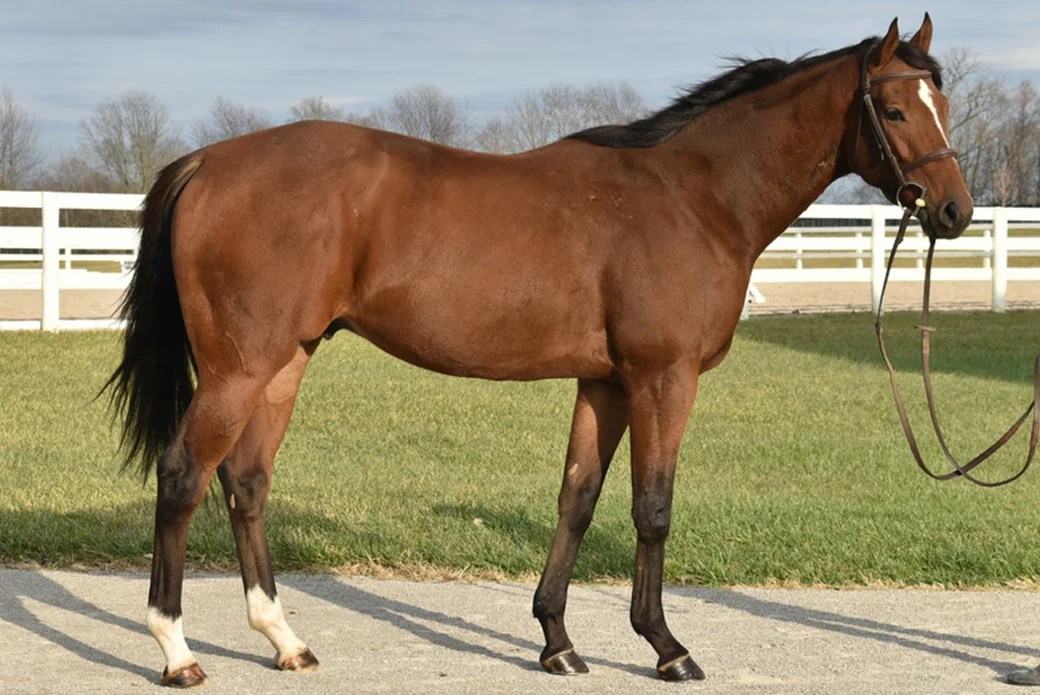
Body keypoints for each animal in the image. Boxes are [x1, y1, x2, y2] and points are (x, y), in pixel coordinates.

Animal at [106, 14, 971, 687]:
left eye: (944, 102)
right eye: (895, 108)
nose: (955, 213)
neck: (693, 198)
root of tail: (207, 161)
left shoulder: (606, 383)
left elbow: (577, 499)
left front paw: (557, 641)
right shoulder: (662, 378)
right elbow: (652, 506)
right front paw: (667, 648)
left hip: (285, 361)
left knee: (246, 482)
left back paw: (285, 639)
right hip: (238, 368)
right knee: (183, 477)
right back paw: (177, 650)